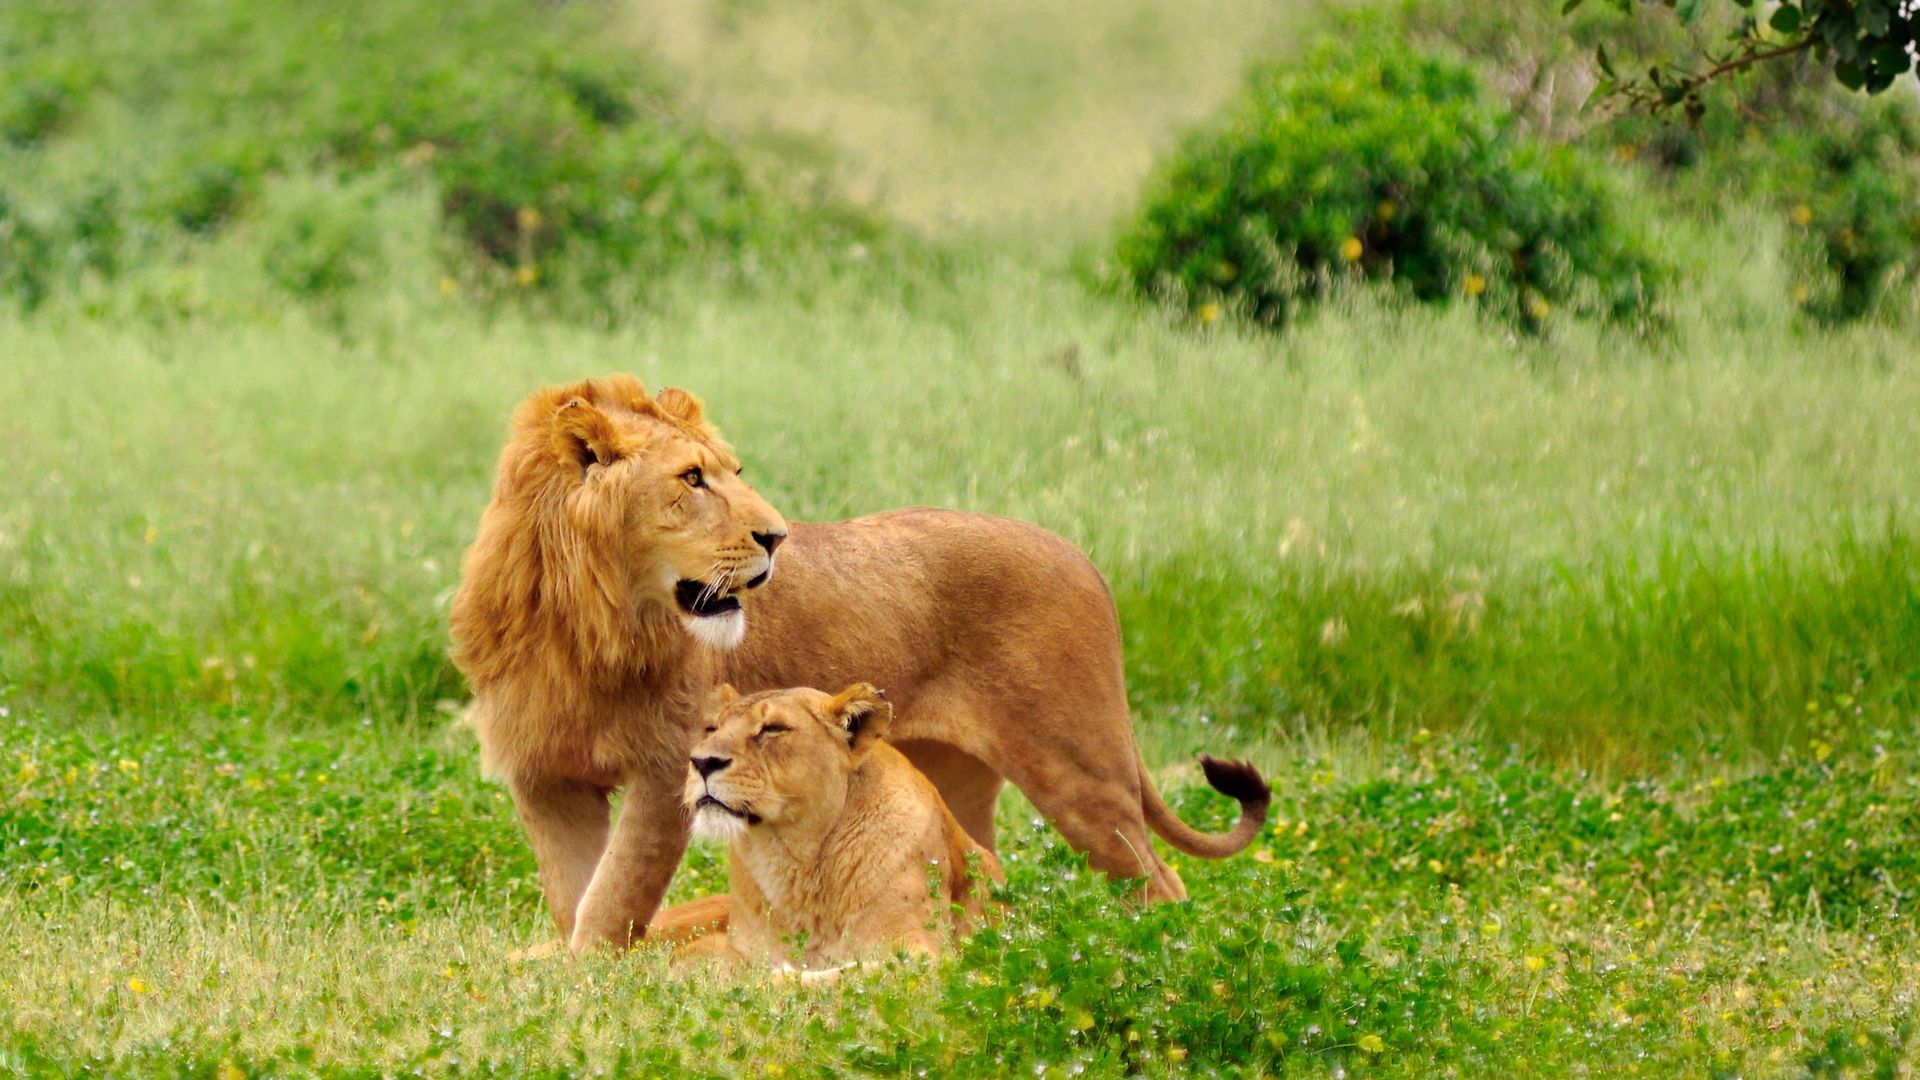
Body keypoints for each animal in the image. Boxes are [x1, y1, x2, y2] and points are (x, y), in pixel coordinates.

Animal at [668, 680, 1006, 968]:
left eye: (773, 728)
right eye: (713, 728)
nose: (701, 762)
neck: (794, 862)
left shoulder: (918, 952)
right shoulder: (736, 948)